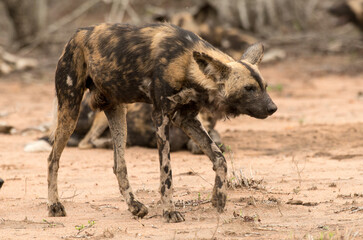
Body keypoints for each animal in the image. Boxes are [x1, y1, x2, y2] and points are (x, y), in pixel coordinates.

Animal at [47, 23, 278, 223]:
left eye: (264, 86)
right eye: (249, 89)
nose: (273, 108)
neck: (186, 64)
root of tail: (77, 34)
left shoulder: (186, 118)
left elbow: (220, 158)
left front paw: (218, 197)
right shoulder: (161, 117)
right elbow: (167, 173)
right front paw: (169, 212)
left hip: (117, 111)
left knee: (119, 164)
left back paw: (134, 206)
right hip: (70, 109)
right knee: (52, 159)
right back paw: (54, 206)